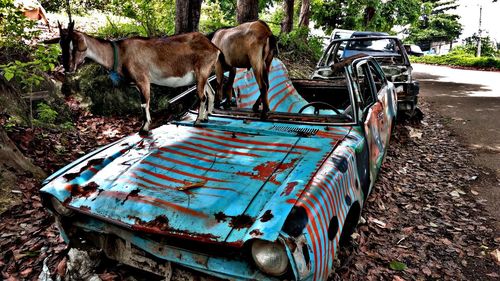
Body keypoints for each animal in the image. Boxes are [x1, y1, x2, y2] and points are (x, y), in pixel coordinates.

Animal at [58, 21, 219, 133]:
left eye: (74, 45)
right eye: (61, 44)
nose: (68, 68)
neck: (119, 53)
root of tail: (214, 47)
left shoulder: (143, 80)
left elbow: (144, 104)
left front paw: (144, 128)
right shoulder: (137, 84)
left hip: (201, 70)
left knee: (202, 96)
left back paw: (198, 121)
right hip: (202, 75)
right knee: (211, 92)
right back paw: (206, 117)